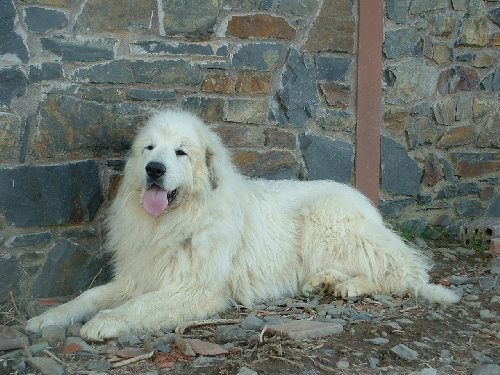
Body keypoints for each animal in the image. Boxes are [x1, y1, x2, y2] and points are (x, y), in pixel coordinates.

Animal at [25, 110, 458, 342]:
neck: (176, 222)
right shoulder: (136, 277)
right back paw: (325, 283)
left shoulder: (196, 289)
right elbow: (88, 296)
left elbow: (139, 305)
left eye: (180, 152)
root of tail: (362, 199)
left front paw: (104, 323)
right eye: (149, 148)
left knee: (404, 270)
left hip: (327, 224)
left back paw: (350, 286)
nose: (154, 169)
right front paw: (47, 318)